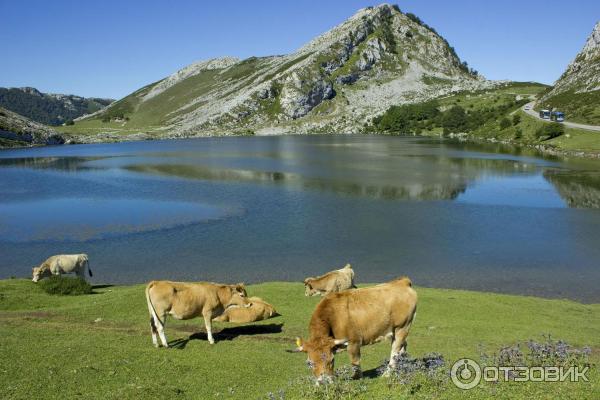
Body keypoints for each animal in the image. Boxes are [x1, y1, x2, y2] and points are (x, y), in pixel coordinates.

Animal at [290, 276, 418, 382]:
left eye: (331, 360)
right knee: (403, 346)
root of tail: (402, 281)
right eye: (309, 363)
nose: (323, 382)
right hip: (394, 330)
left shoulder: (354, 342)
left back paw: (387, 373)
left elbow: (355, 362)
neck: (332, 315)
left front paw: (357, 378)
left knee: (395, 351)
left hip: (402, 327)